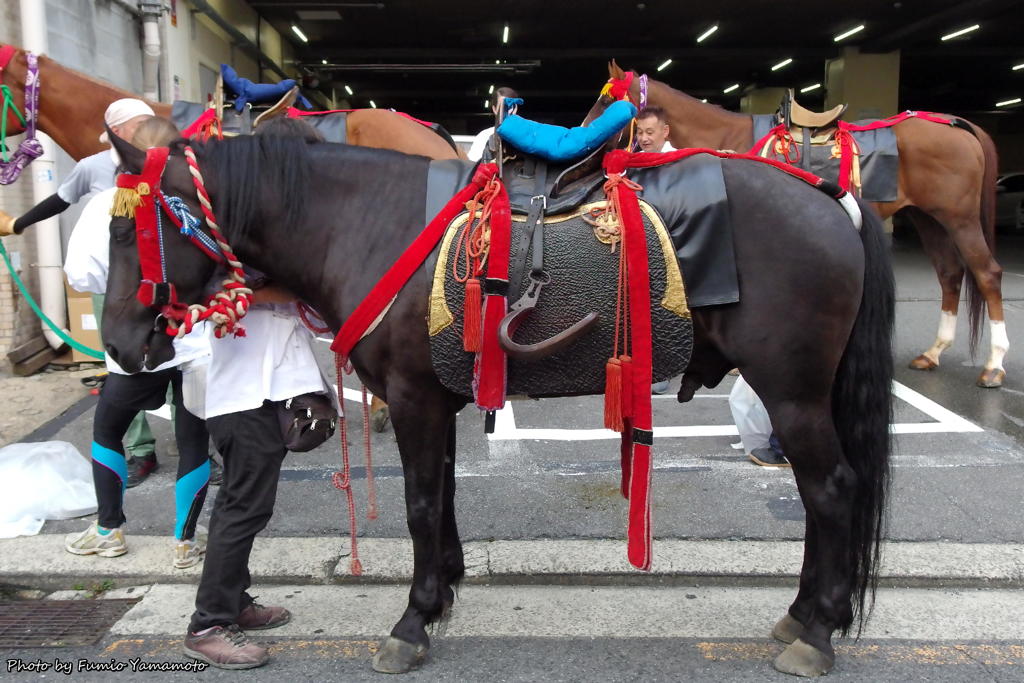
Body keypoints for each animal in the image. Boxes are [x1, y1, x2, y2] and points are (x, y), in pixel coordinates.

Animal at [99, 132, 892, 679]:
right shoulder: (436, 398)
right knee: (823, 496)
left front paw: (413, 620)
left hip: (791, 389)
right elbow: (443, 494)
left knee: (831, 490)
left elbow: (421, 503)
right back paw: (802, 615)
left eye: (127, 230)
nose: (117, 342)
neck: (369, 223)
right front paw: (444, 589)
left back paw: (818, 629)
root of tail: (828, 196)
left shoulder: (413, 397)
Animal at [589, 60, 1003, 389]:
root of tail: (956, 124)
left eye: (608, 103)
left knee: (986, 274)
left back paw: (994, 365)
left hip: (959, 219)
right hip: (929, 218)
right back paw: (933, 353)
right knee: (950, 275)